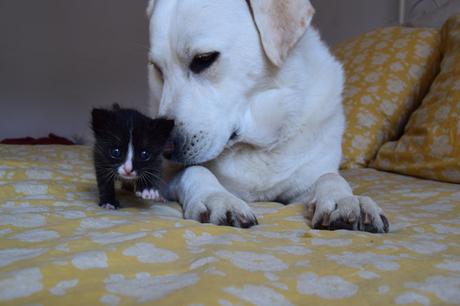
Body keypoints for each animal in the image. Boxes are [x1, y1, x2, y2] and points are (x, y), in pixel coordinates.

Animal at [146, 0, 388, 232]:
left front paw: (348, 201)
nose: (163, 149)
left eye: (204, 59)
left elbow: (330, 177)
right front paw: (218, 198)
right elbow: (195, 170)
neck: (256, 144)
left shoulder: (304, 183)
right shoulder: (162, 180)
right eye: (157, 69)